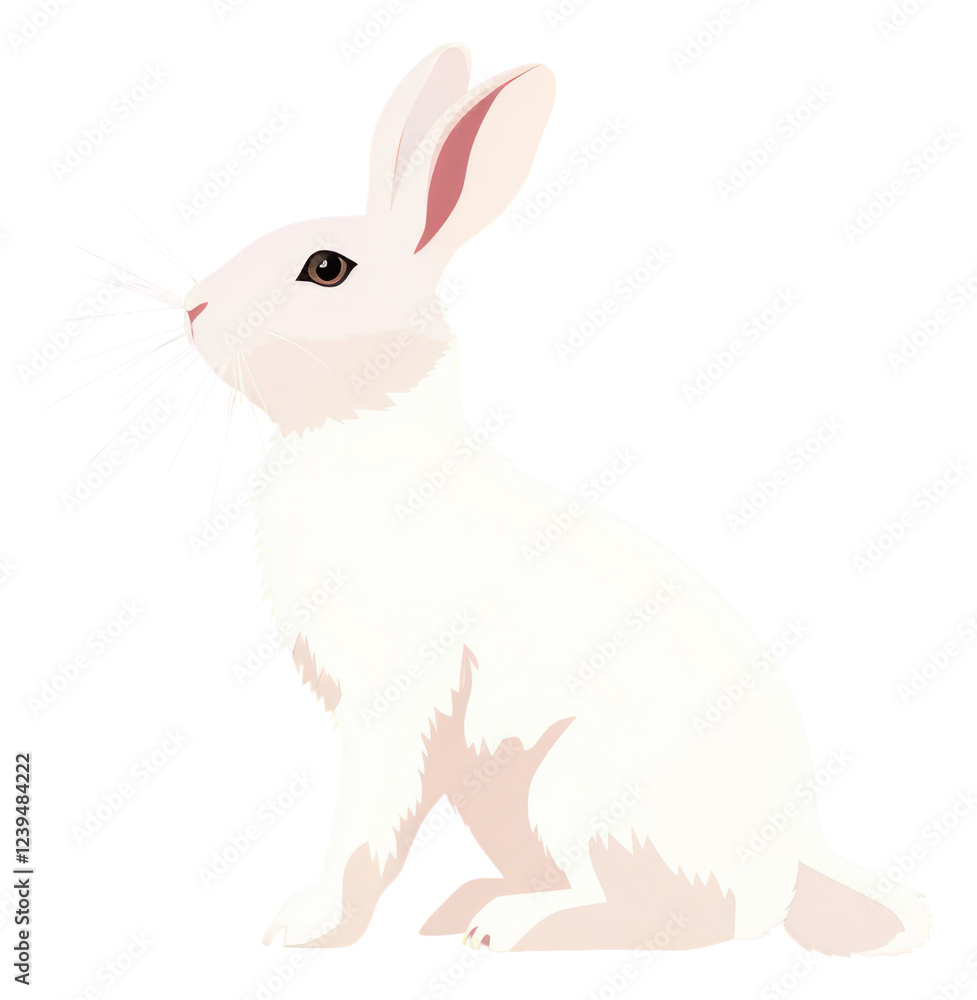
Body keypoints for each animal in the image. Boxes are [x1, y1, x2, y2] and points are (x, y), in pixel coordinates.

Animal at [183, 44, 929, 955]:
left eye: (327, 269)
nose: (193, 308)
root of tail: (796, 854)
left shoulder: (397, 700)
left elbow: (367, 823)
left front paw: (306, 924)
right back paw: (465, 905)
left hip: (573, 783)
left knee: (671, 913)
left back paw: (502, 927)